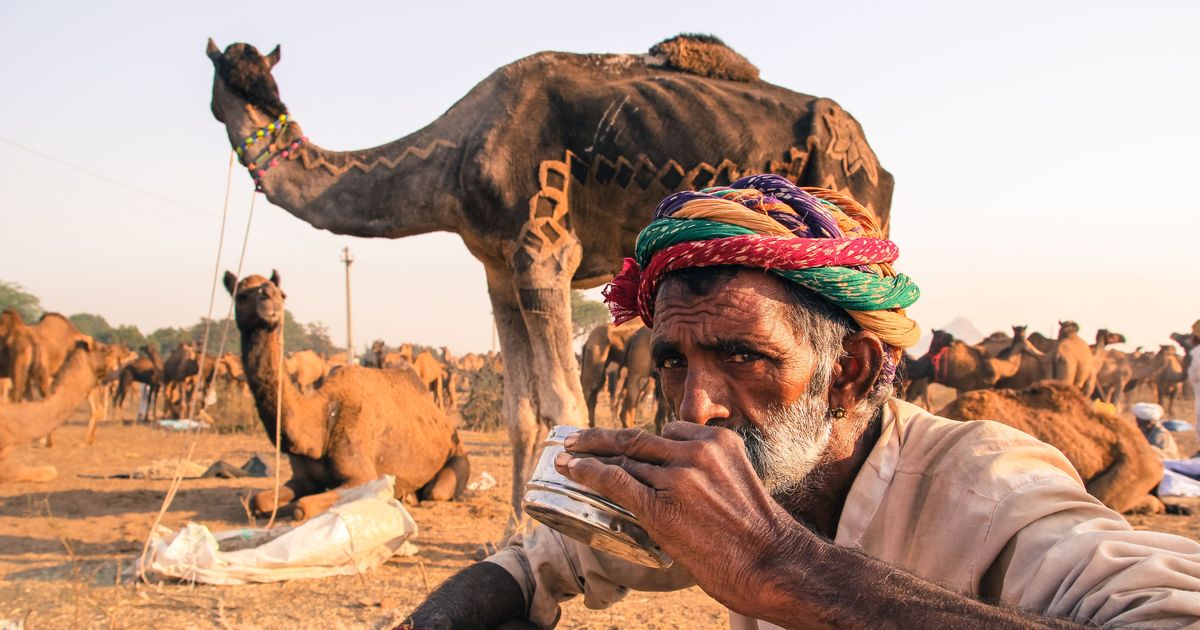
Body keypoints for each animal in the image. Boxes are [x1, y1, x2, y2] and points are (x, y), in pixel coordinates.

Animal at [225, 270, 469, 520]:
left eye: (282, 294)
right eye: (241, 295)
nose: (271, 301)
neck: (321, 420)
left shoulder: (363, 476)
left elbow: (302, 507)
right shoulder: (302, 479)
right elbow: (259, 500)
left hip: (456, 458)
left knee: (436, 492)